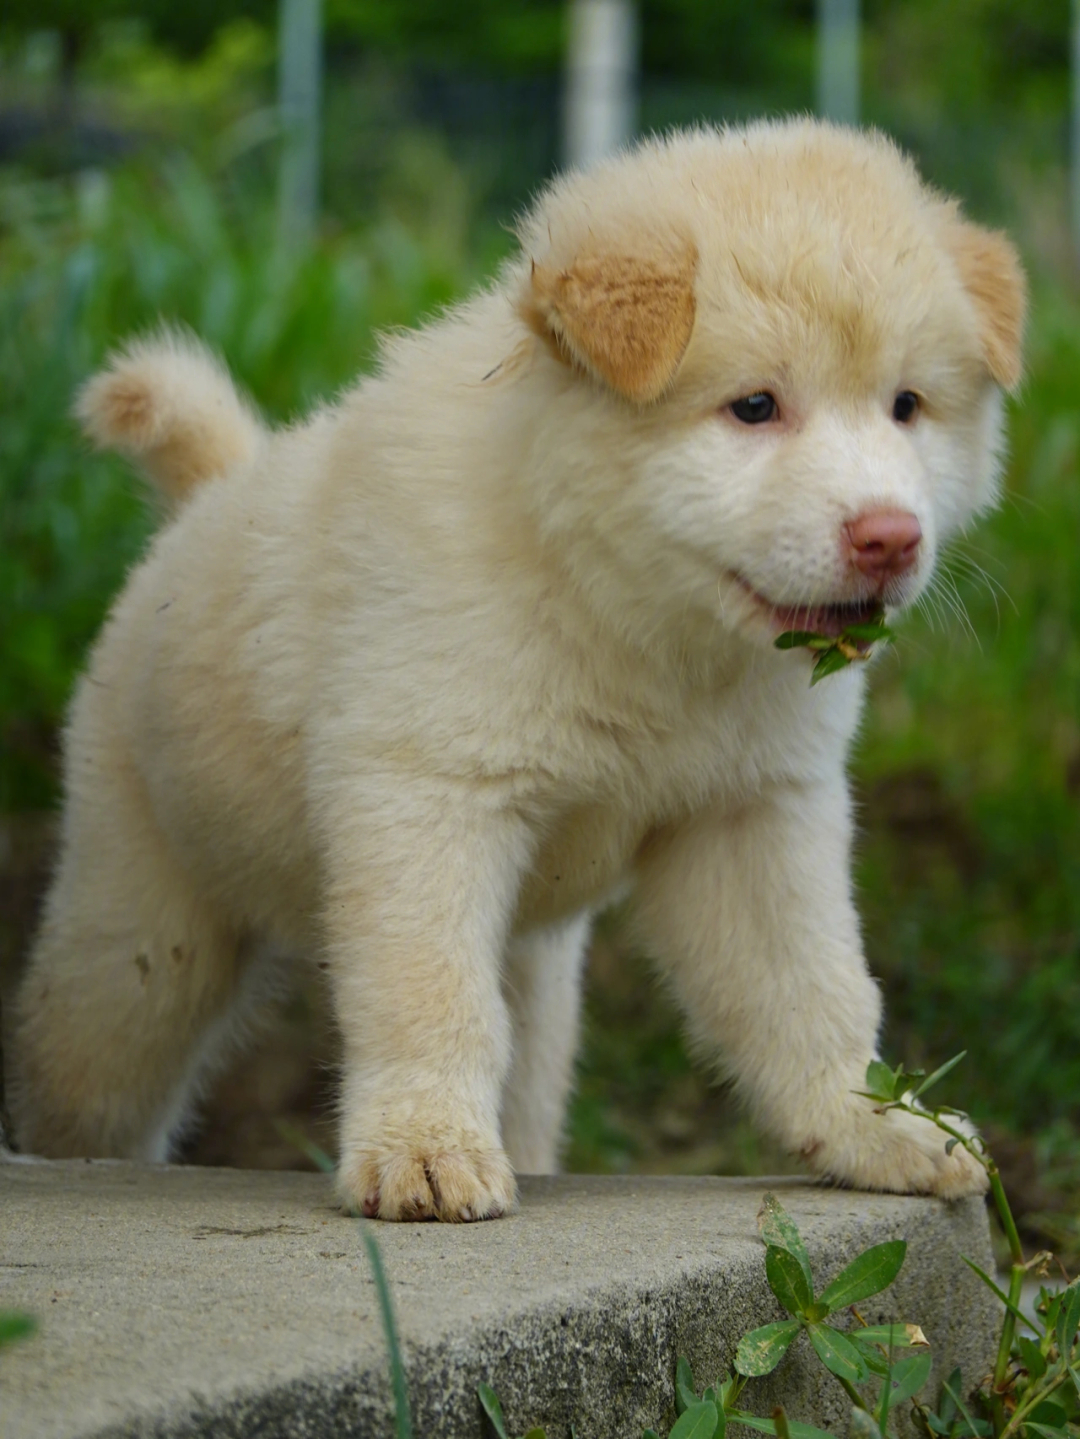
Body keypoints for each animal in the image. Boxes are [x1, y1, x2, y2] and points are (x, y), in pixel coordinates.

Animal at [10, 117, 1023, 1220]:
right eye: (754, 406)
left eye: (907, 406)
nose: (891, 537)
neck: (627, 616)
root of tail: (209, 497)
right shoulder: (427, 798)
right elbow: (429, 995)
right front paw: (422, 1152)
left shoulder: (751, 814)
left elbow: (814, 989)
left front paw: (876, 1127)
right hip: (144, 937)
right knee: (86, 1072)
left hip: (538, 969)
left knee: (530, 1065)